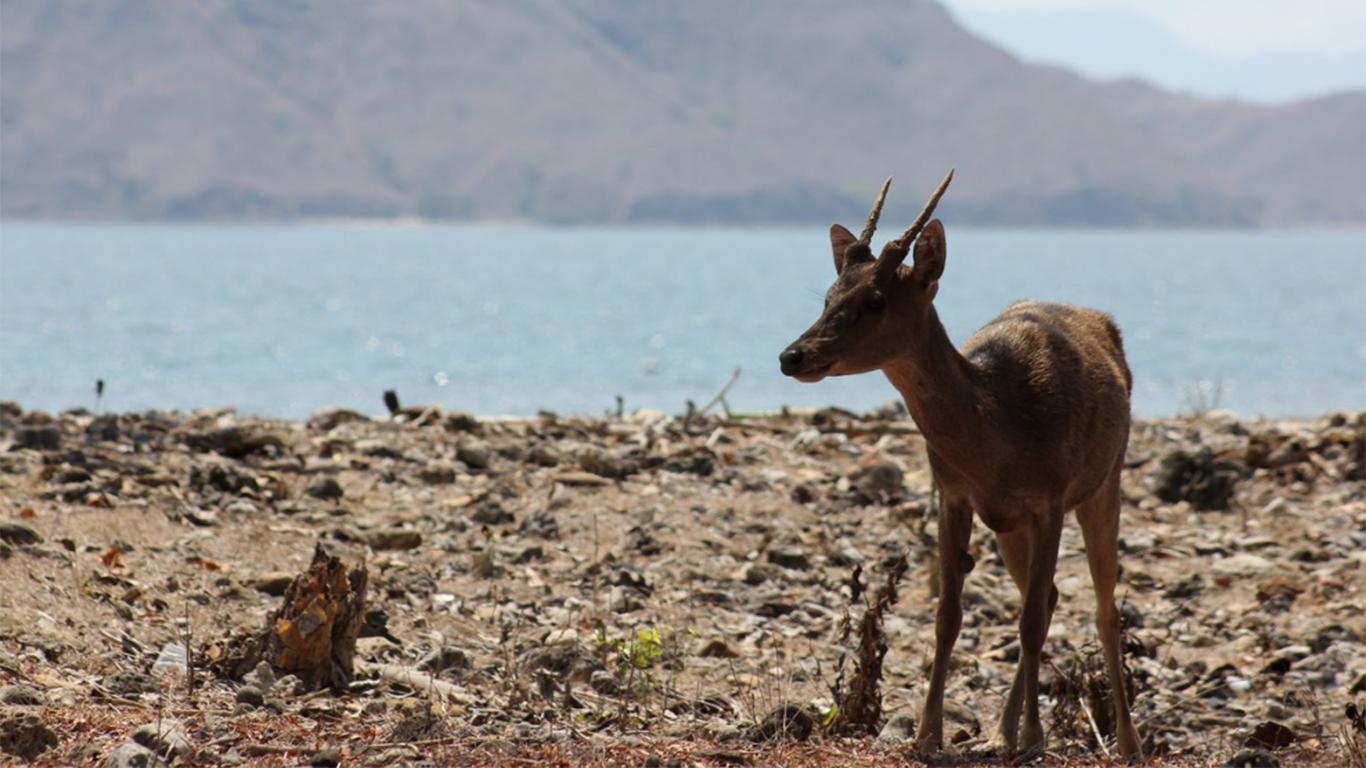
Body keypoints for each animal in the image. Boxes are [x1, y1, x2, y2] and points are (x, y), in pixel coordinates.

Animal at [781, 170, 1141, 754]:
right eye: (829, 294)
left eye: (876, 299)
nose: (793, 355)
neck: (1002, 434)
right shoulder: (952, 494)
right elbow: (948, 615)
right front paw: (928, 735)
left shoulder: (1050, 499)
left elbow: (1030, 620)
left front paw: (1036, 738)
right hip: (1010, 528)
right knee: (1053, 596)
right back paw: (998, 733)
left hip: (1105, 482)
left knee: (1102, 606)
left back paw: (1127, 742)